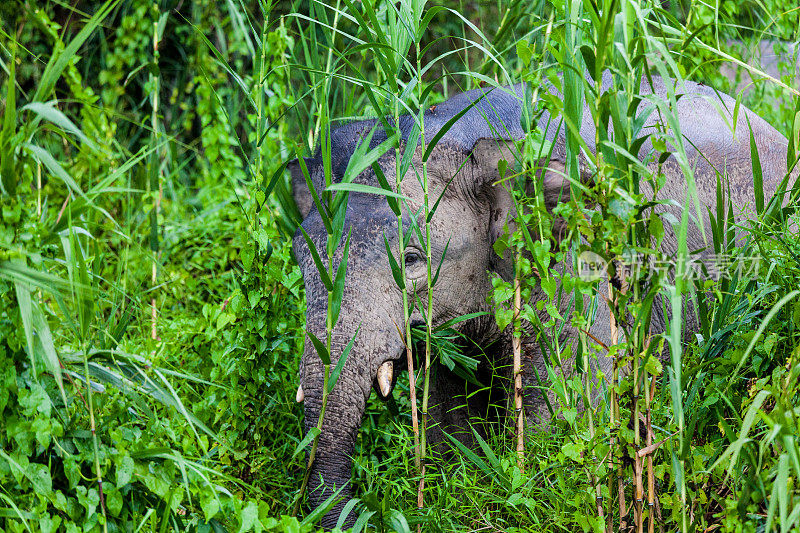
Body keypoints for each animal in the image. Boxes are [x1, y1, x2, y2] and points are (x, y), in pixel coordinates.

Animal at [288, 71, 792, 528]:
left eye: (412, 260)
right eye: (300, 257)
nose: (366, 512)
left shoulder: (579, 273)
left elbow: (559, 415)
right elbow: (447, 417)